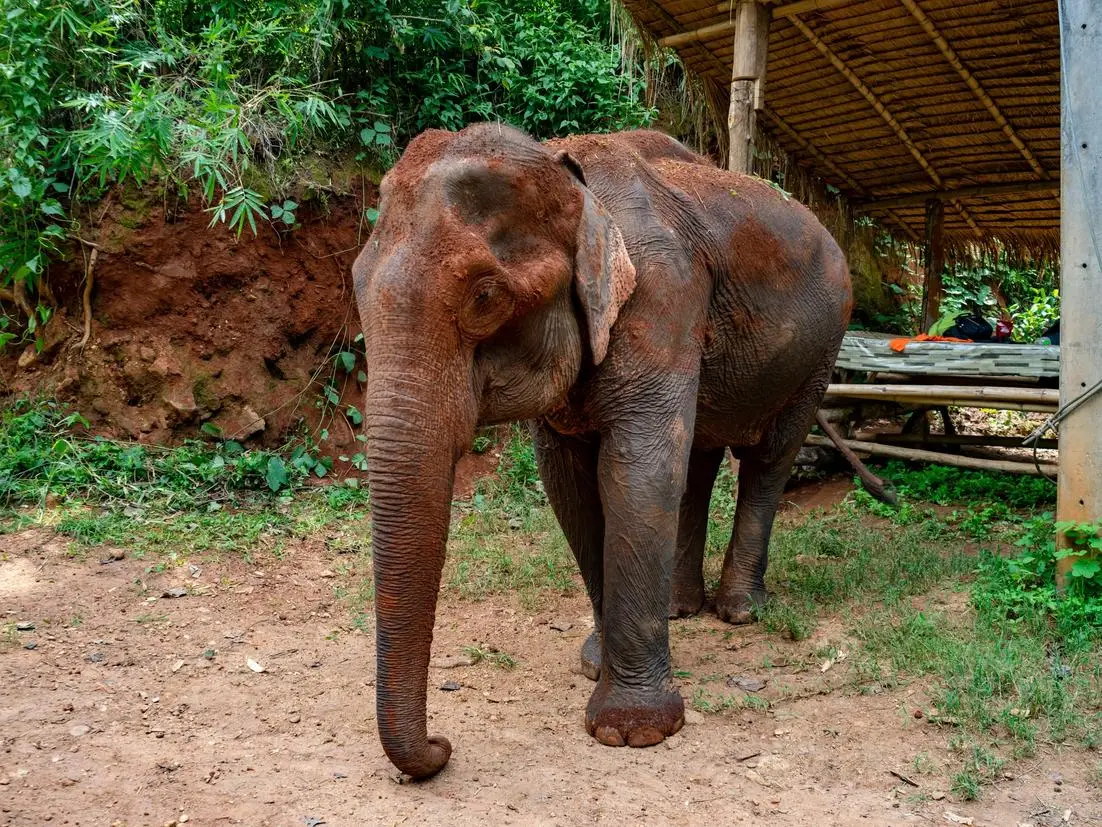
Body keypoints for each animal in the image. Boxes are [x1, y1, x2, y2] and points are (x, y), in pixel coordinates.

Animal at [352, 122, 853, 780]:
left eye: (485, 296)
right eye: (354, 285)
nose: (441, 745)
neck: (567, 170)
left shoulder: (663, 299)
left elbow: (635, 472)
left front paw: (633, 731)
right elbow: (570, 486)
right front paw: (595, 663)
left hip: (823, 345)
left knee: (768, 459)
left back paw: (740, 612)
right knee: (698, 457)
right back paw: (679, 610)